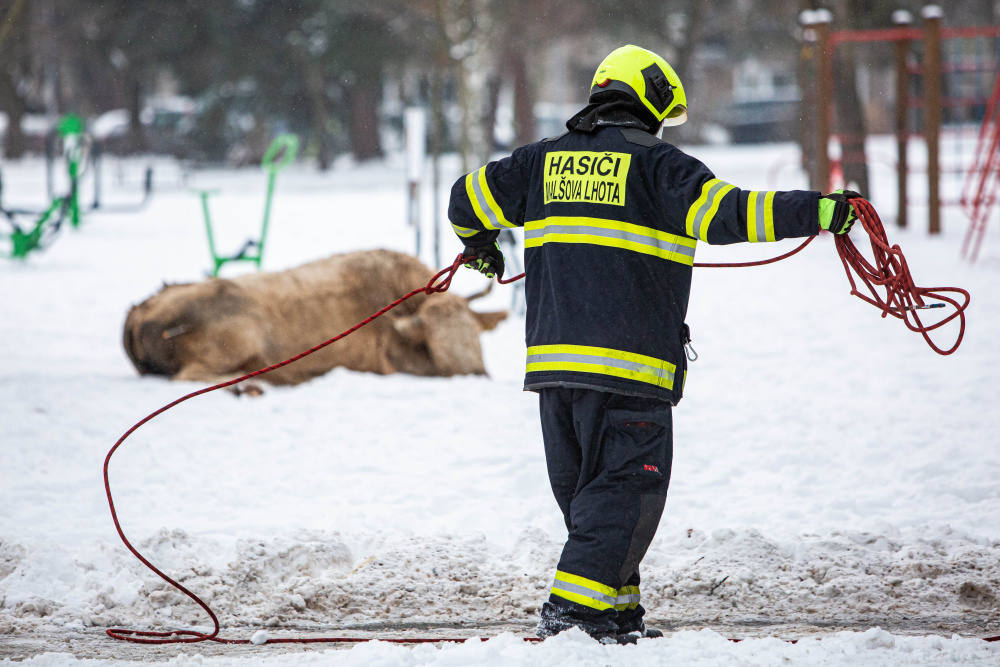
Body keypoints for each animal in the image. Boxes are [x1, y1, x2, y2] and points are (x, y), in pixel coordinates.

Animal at [123, 249, 508, 386]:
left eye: (475, 335)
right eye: (434, 339)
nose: (477, 374)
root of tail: (138, 313)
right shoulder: (392, 363)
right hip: (234, 342)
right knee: (189, 376)